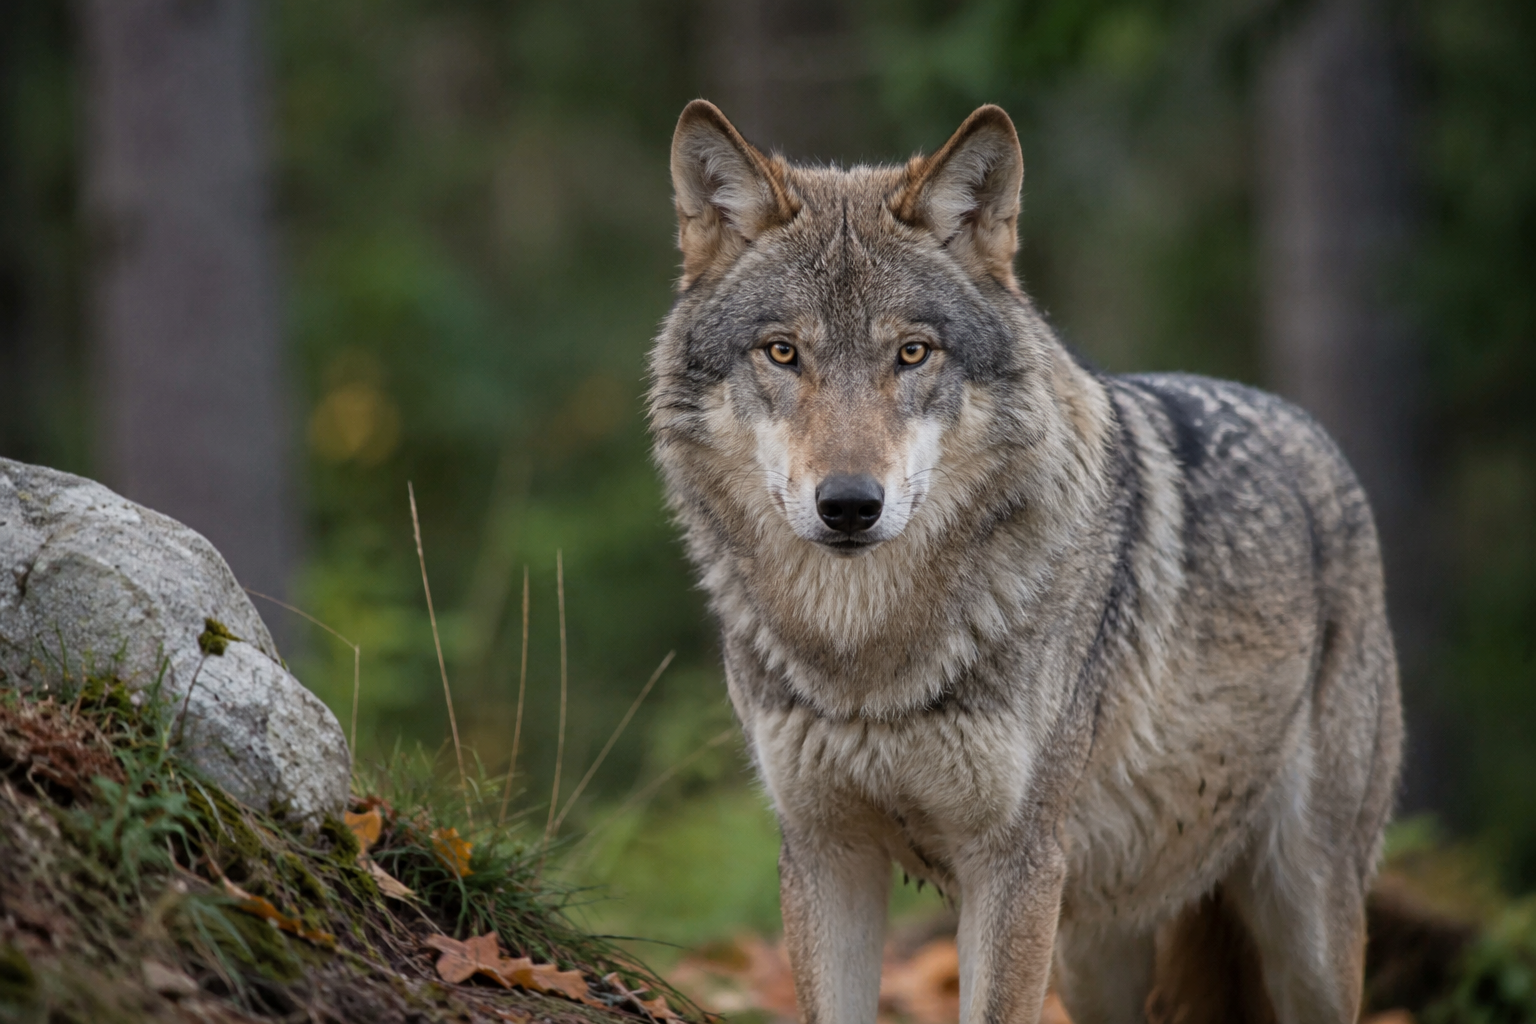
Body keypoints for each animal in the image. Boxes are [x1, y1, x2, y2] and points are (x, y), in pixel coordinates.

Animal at [647, 100, 1402, 1024]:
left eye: (913, 353)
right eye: (783, 352)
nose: (850, 504)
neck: (867, 656)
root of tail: (1309, 432)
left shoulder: (1014, 864)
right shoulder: (826, 854)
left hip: (1306, 929)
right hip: (1096, 952)